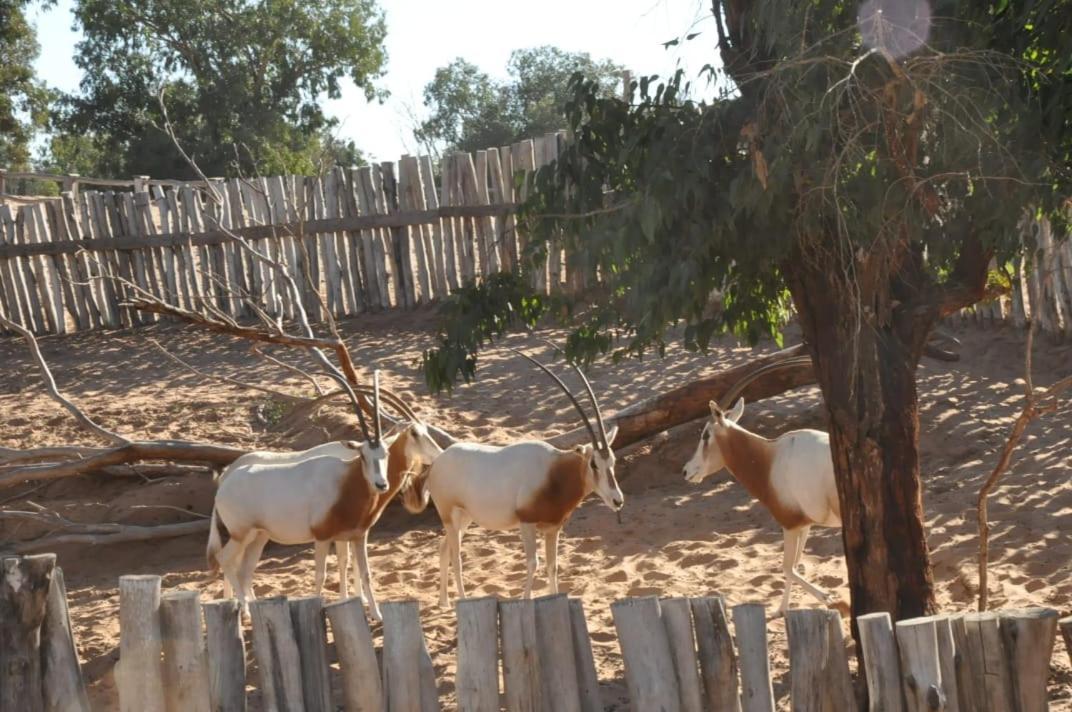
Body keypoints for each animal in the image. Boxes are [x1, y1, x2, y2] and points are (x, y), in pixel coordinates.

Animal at [206, 373, 441, 617]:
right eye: (363, 455)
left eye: (385, 453)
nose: (381, 484)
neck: (347, 481)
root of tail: (223, 484)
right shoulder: (322, 536)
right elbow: (322, 574)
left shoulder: (357, 535)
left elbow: (363, 571)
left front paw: (375, 613)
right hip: (240, 534)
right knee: (225, 559)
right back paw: (244, 610)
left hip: (259, 535)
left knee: (245, 569)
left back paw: (250, 608)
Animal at [403, 349, 626, 604]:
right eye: (593, 464)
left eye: (612, 461)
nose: (617, 500)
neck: (553, 472)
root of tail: (438, 460)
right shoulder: (526, 523)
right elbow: (533, 563)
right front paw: (526, 599)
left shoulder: (553, 528)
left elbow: (553, 566)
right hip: (448, 514)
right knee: (457, 556)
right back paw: (463, 599)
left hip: (464, 517)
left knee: (444, 549)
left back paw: (444, 602)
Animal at [681, 396, 840, 613]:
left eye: (705, 435)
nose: (686, 471)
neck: (770, 459)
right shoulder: (804, 524)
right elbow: (795, 565)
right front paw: (782, 610)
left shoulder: (789, 524)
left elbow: (787, 567)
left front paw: (828, 598)